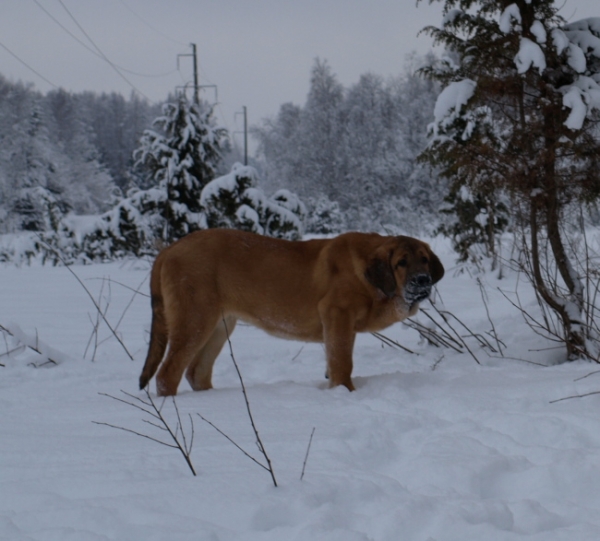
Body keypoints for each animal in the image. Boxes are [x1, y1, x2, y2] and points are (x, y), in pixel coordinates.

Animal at [138, 229, 442, 396]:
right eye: (401, 263)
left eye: (424, 260)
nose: (422, 281)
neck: (371, 280)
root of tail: (169, 250)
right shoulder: (337, 315)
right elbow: (342, 363)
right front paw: (346, 394)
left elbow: (334, 362)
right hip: (195, 320)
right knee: (167, 374)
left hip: (220, 325)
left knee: (197, 371)